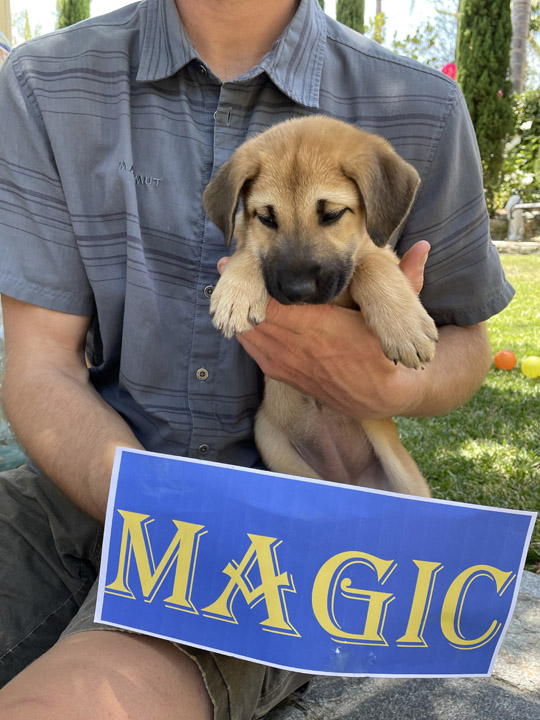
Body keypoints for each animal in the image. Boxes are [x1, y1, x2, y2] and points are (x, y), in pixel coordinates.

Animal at [204, 115, 438, 498]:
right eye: (266, 217)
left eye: (332, 214)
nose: (297, 291)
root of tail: (345, 479)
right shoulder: (250, 238)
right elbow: (249, 249)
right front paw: (235, 293)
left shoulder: (378, 251)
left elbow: (370, 264)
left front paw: (404, 328)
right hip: (274, 446)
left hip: (407, 480)